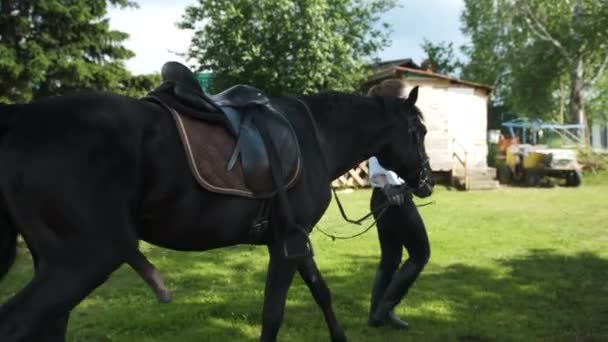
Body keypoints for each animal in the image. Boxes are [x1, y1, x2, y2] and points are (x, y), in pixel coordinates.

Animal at [0, 79, 432, 340]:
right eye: (422, 131)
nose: (427, 181)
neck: (316, 138)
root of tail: (17, 117)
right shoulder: (284, 245)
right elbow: (273, 313)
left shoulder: (295, 239)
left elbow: (321, 292)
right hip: (86, 259)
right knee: (18, 322)